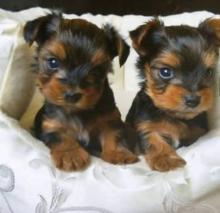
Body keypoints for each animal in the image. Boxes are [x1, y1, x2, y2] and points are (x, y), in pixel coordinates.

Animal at [23, 11, 138, 171]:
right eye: (53, 62)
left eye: (97, 70)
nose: (72, 95)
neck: (78, 111)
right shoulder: (51, 125)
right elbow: (61, 136)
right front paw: (70, 154)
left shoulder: (110, 120)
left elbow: (113, 135)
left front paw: (118, 153)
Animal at [125, 17, 220, 171]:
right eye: (165, 72)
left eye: (208, 72)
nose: (193, 100)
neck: (173, 115)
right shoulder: (145, 123)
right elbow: (153, 138)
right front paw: (166, 159)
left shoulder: (198, 131)